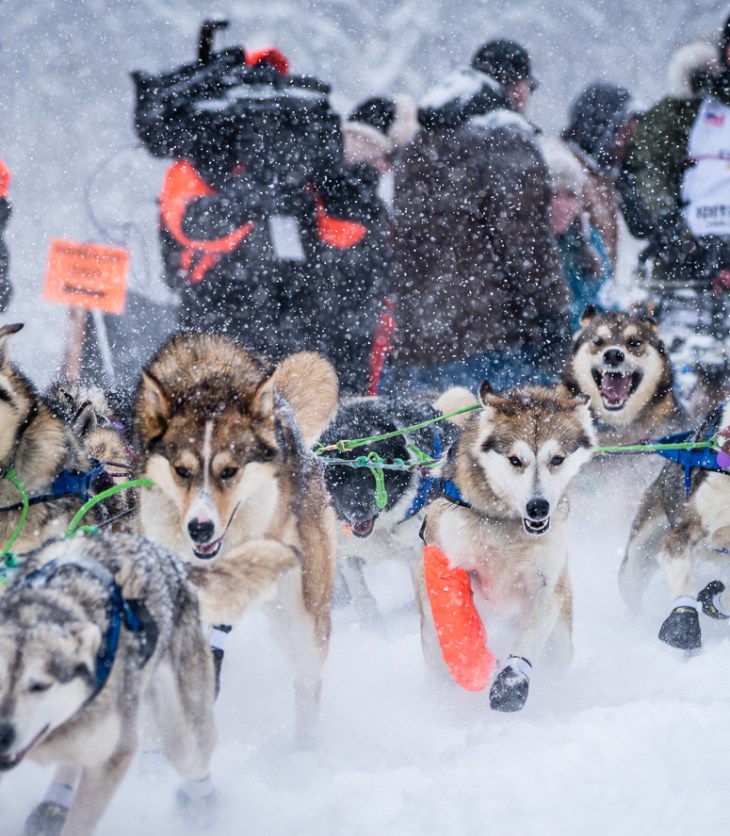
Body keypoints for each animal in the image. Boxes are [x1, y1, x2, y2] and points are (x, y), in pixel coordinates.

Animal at [0, 530, 216, 836]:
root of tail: (168, 556)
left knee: (192, 759)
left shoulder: (114, 755)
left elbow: (80, 823)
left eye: (39, 686)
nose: (1, 735)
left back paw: (202, 808)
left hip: (183, 731)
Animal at [319, 387, 475, 623]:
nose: (357, 511)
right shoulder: (347, 553)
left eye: (371, 472)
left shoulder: (418, 549)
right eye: (337, 474)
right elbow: (362, 597)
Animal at [415, 382, 596, 711]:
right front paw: (477, 665)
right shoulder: (447, 563)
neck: (505, 524)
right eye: (515, 460)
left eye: (557, 459)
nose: (538, 507)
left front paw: (512, 681)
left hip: (561, 640)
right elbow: (458, 621)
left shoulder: (547, 584)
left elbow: (530, 637)